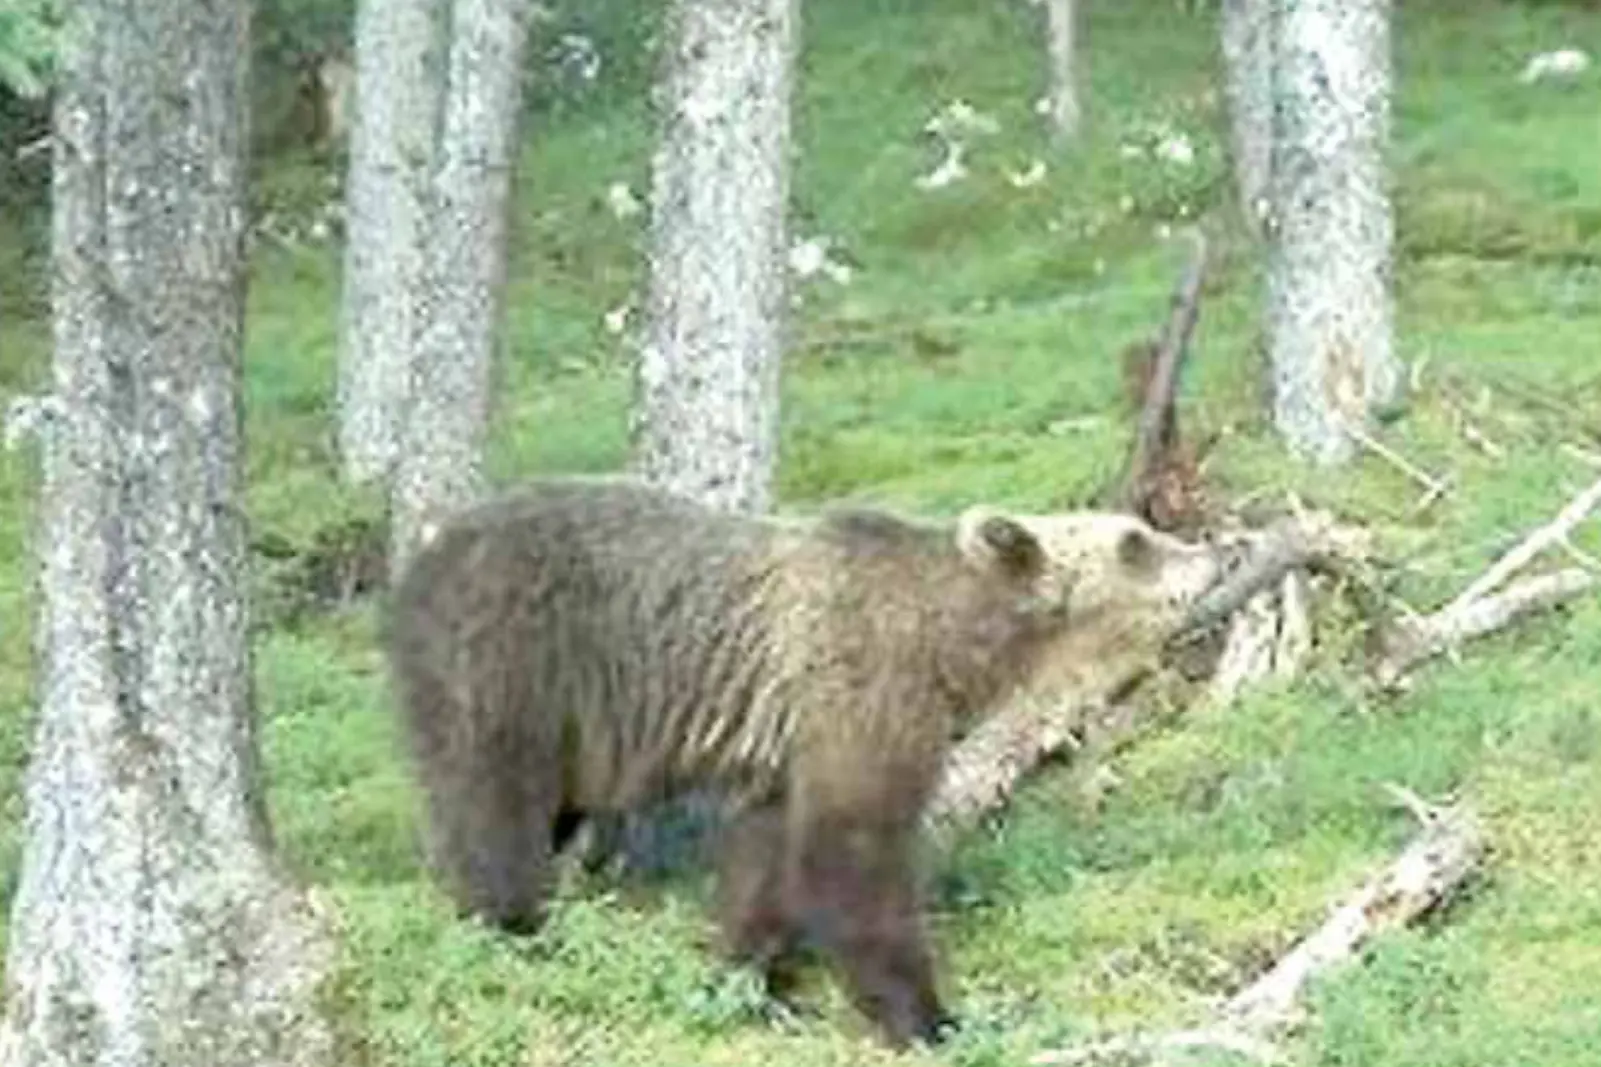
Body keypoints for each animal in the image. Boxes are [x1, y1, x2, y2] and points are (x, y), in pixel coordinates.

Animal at [382, 475, 1227, 1048]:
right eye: (1134, 540)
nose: (1217, 553)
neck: (954, 646)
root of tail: (419, 561)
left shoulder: (789, 751)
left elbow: (769, 854)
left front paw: (750, 974)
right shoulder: (861, 693)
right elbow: (853, 851)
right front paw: (927, 1013)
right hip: (512, 664)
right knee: (494, 802)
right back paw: (516, 922)